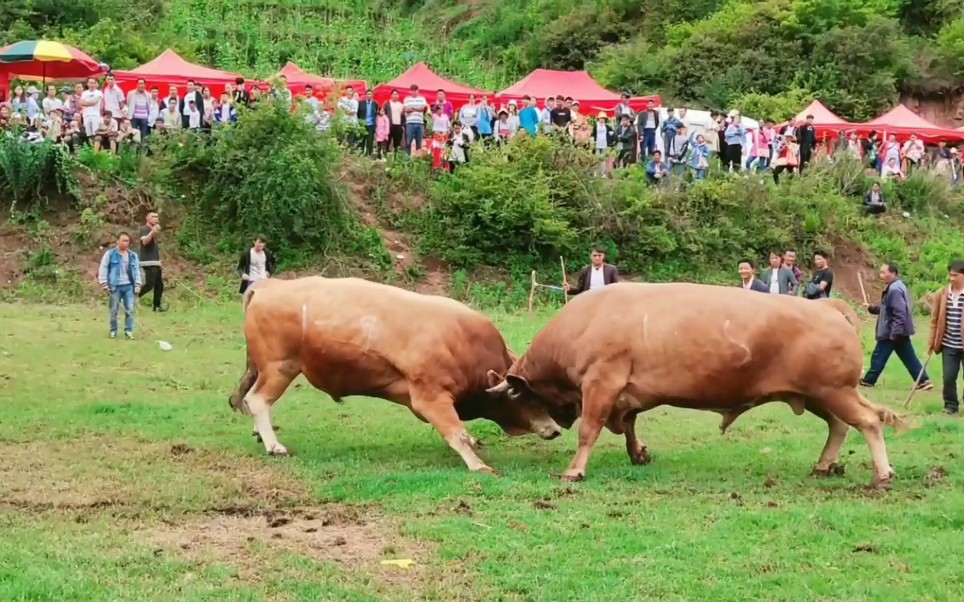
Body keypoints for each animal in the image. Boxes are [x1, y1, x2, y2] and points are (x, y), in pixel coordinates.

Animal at [230, 274, 560, 472]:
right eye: (530, 398)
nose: (556, 429)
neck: (466, 345)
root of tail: (270, 285)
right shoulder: (431, 397)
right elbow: (457, 434)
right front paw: (478, 465)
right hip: (279, 367)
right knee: (258, 400)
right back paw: (274, 445)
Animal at [490, 282, 904, 488]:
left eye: (521, 397)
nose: (552, 430)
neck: (585, 321)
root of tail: (826, 307)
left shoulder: (601, 382)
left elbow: (590, 430)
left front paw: (575, 470)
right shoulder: (626, 392)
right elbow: (629, 424)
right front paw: (638, 453)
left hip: (835, 391)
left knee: (869, 421)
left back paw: (883, 474)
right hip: (819, 394)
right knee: (840, 425)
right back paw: (823, 465)